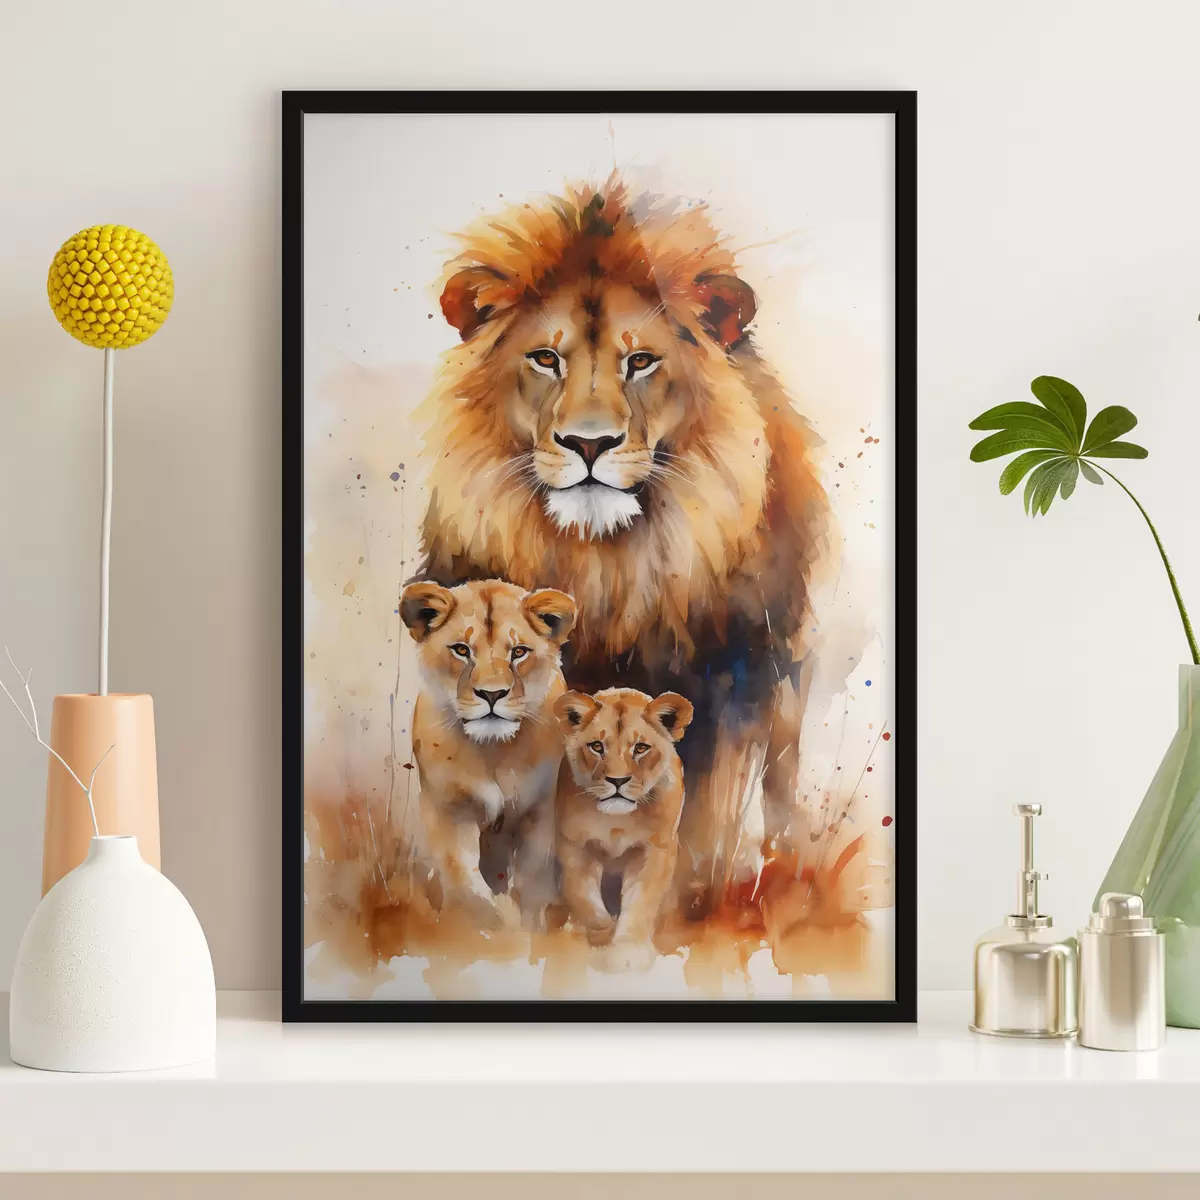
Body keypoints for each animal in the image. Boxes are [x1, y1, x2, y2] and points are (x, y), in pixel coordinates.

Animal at [400, 578, 576, 929]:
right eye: (461, 650)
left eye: (519, 652)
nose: (492, 694)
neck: (493, 751)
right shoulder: (449, 808)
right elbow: (464, 880)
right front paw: (487, 928)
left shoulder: (539, 810)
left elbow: (531, 881)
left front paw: (528, 928)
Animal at [416, 175, 832, 918]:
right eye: (545, 358)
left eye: (640, 361)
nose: (589, 444)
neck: (606, 564)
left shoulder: (731, 679)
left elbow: (698, 820)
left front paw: (683, 906)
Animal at [554, 687, 693, 971]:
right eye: (597, 746)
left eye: (640, 748)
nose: (617, 781)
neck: (617, 822)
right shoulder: (573, 845)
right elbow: (584, 898)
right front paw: (601, 936)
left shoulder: (655, 849)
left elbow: (641, 902)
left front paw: (628, 950)